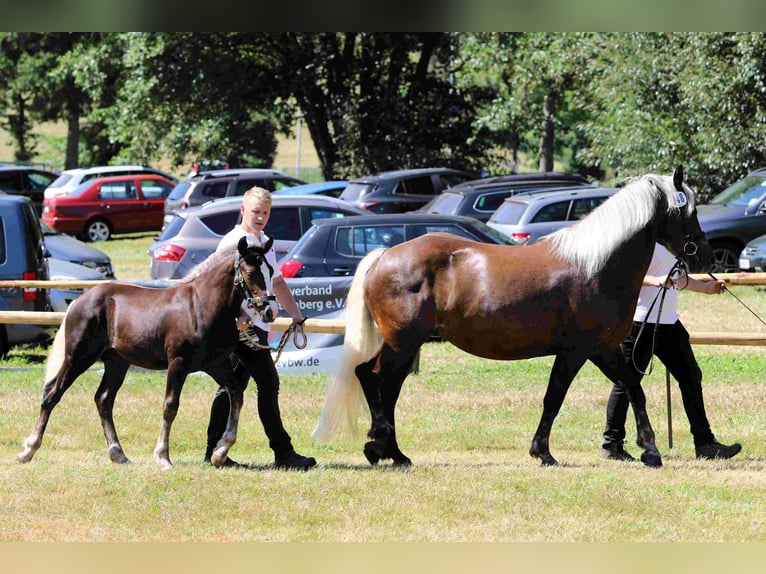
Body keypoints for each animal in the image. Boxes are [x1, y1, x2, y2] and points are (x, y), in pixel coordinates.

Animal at [18, 236, 278, 470]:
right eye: (251, 272)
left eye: (271, 270)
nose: (270, 310)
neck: (200, 307)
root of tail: (79, 302)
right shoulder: (178, 364)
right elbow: (170, 406)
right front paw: (163, 457)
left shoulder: (217, 365)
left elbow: (236, 395)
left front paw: (220, 453)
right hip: (78, 358)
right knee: (52, 394)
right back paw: (28, 450)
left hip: (116, 363)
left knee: (103, 399)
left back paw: (118, 454)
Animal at [312, 166, 712, 468]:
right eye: (689, 212)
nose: (705, 254)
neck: (595, 265)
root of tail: (383, 256)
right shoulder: (575, 352)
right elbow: (555, 397)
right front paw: (543, 452)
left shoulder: (603, 349)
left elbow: (633, 389)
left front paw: (650, 450)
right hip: (402, 341)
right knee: (370, 376)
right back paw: (377, 445)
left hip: (408, 345)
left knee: (388, 388)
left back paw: (394, 453)